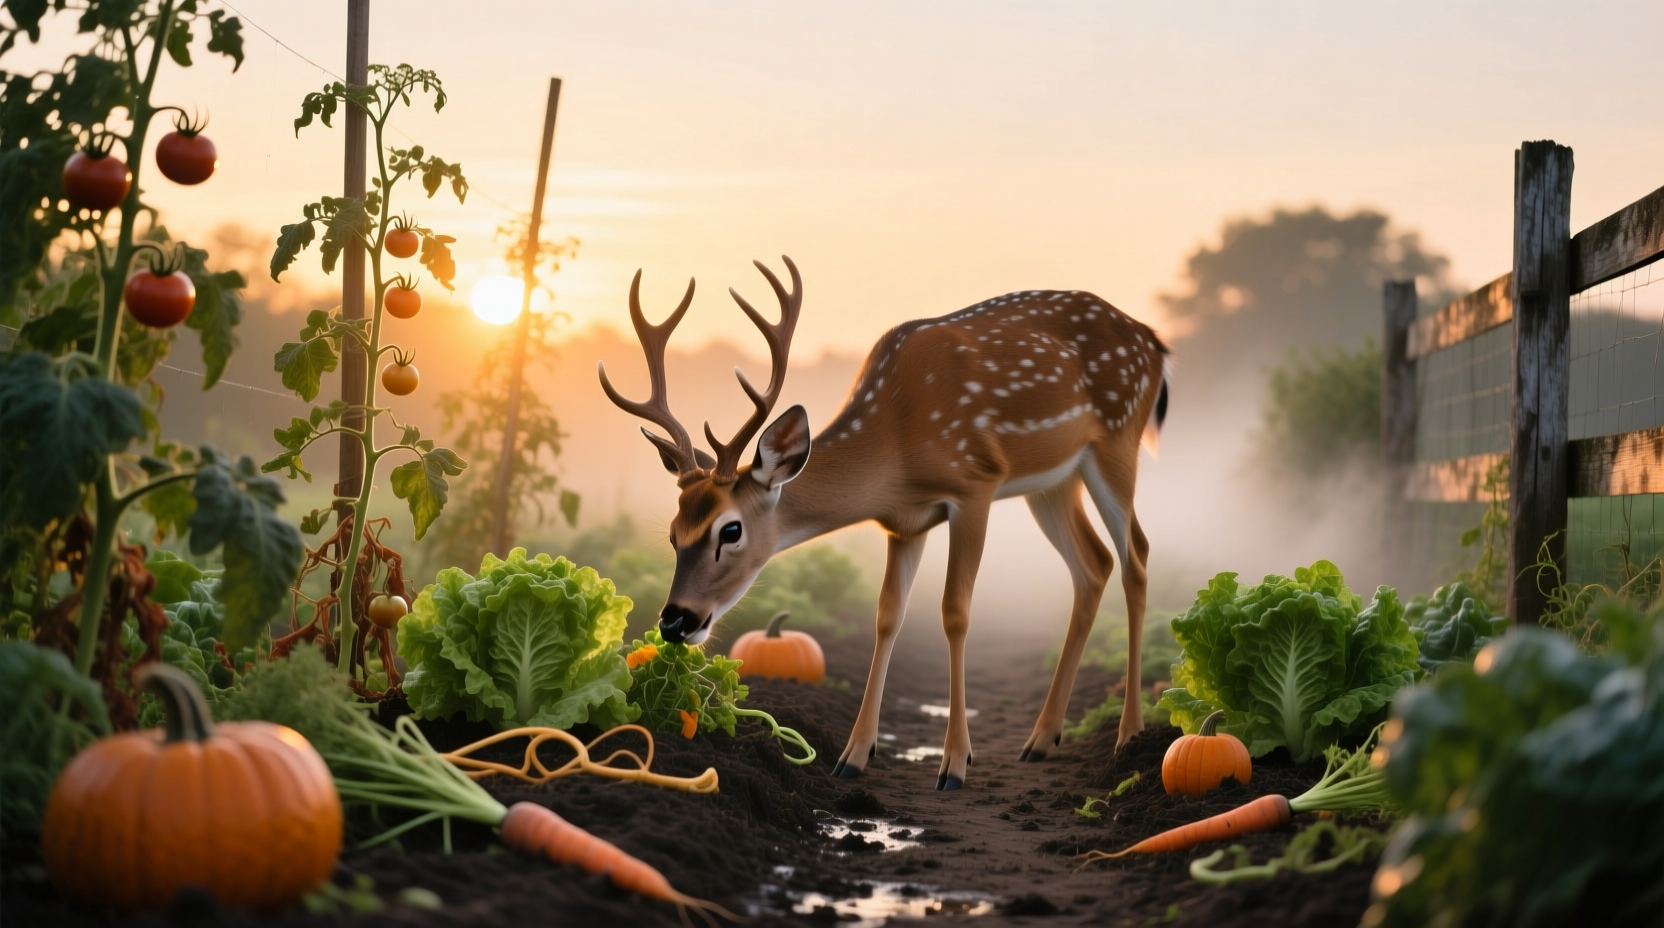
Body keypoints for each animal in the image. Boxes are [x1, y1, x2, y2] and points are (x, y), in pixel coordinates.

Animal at [598, 256, 1170, 791]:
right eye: (673, 534)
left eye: (730, 529)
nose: (675, 622)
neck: (896, 446)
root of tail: (1154, 342)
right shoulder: (904, 522)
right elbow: (886, 615)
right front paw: (853, 756)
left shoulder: (975, 483)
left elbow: (955, 612)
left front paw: (955, 764)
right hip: (1054, 482)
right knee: (1093, 565)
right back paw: (1042, 739)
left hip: (1117, 439)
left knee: (1137, 557)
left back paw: (1128, 735)